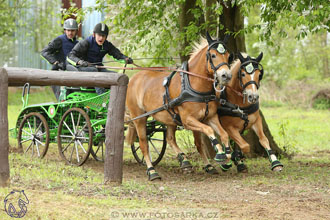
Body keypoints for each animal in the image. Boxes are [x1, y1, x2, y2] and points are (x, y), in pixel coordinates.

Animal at [125, 33, 233, 180]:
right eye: (213, 55)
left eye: (228, 56)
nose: (226, 76)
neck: (193, 84)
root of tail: (133, 79)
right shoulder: (188, 120)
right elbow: (209, 130)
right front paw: (220, 154)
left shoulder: (210, 117)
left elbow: (222, 135)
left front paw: (225, 157)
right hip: (139, 118)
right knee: (143, 144)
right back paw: (152, 171)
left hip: (169, 118)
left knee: (170, 138)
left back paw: (184, 161)